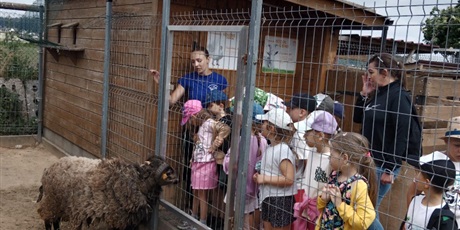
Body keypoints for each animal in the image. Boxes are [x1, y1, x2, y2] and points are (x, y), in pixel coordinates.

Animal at [36, 155, 178, 229]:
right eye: (167, 172)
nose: (176, 179)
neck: (136, 182)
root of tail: (47, 171)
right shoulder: (116, 218)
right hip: (52, 201)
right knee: (48, 220)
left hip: (60, 204)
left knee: (55, 221)